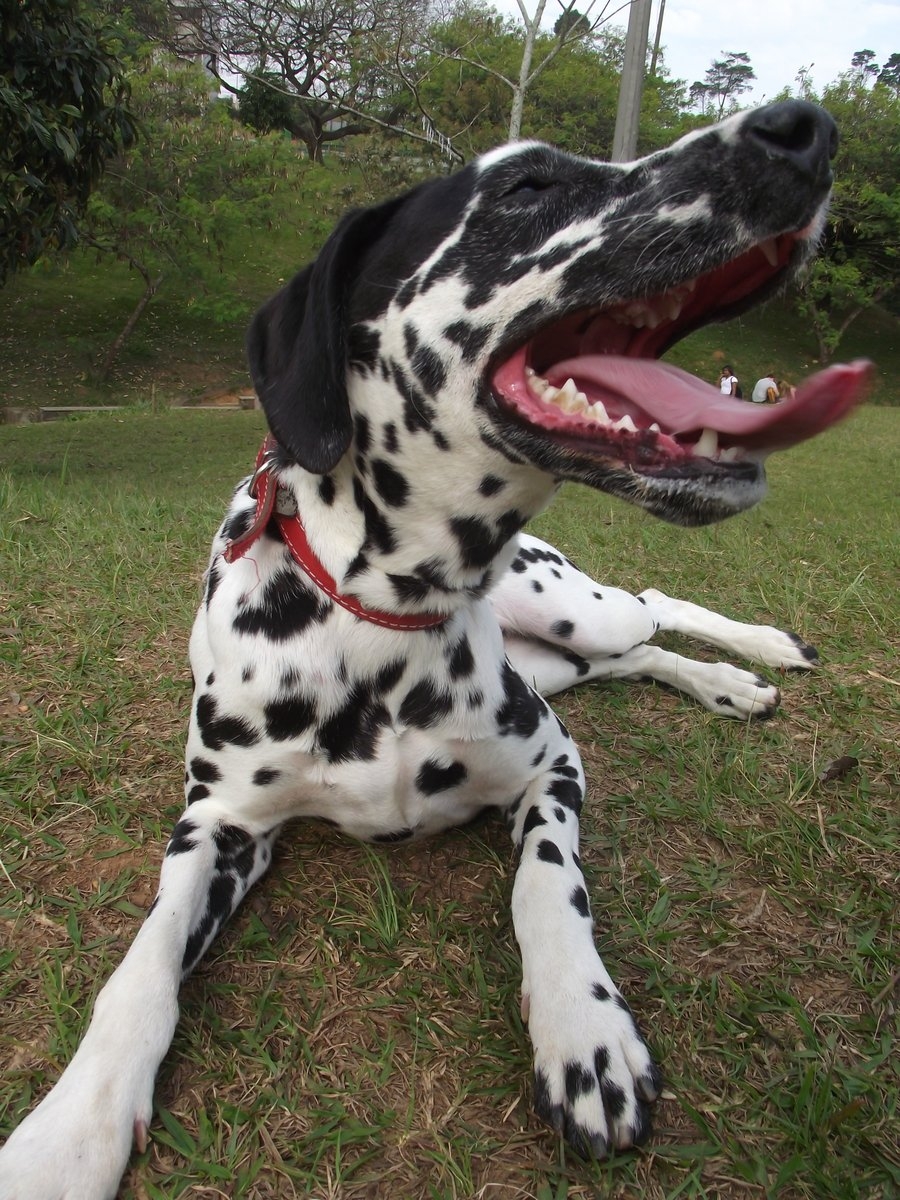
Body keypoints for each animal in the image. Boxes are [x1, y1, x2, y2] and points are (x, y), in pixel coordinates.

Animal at [1, 98, 873, 1195]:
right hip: (568, 655)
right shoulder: (218, 824)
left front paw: (584, 1031)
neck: (374, 620)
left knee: (654, 601)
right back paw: (728, 683)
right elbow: (143, 963)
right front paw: (68, 1131)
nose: (802, 126)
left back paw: (751, 658)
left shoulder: (551, 764)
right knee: (640, 649)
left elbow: (549, 887)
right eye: (527, 186)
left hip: (578, 611)